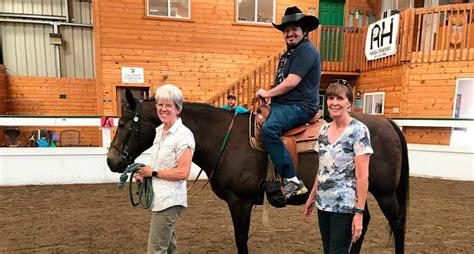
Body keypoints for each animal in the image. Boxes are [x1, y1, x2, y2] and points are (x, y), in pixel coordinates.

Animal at [106, 90, 408, 253]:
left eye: (124, 124)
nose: (111, 161)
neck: (224, 138)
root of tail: (388, 123)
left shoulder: (240, 202)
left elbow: (241, 239)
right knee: (363, 221)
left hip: (384, 192)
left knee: (397, 223)